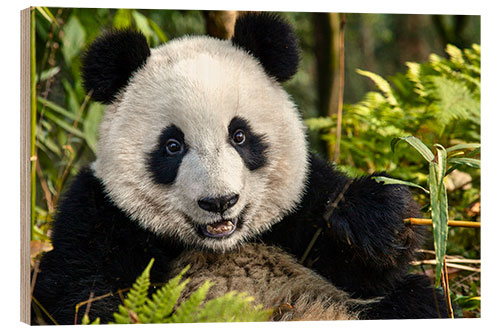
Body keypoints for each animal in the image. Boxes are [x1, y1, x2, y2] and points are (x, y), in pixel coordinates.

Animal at [33, 13, 448, 324]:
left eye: (240, 136)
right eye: (172, 146)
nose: (219, 202)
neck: (221, 246)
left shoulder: (298, 207)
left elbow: (368, 270)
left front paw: (375, 220)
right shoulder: (100, 213)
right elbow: (81, 291)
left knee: (418, 300)